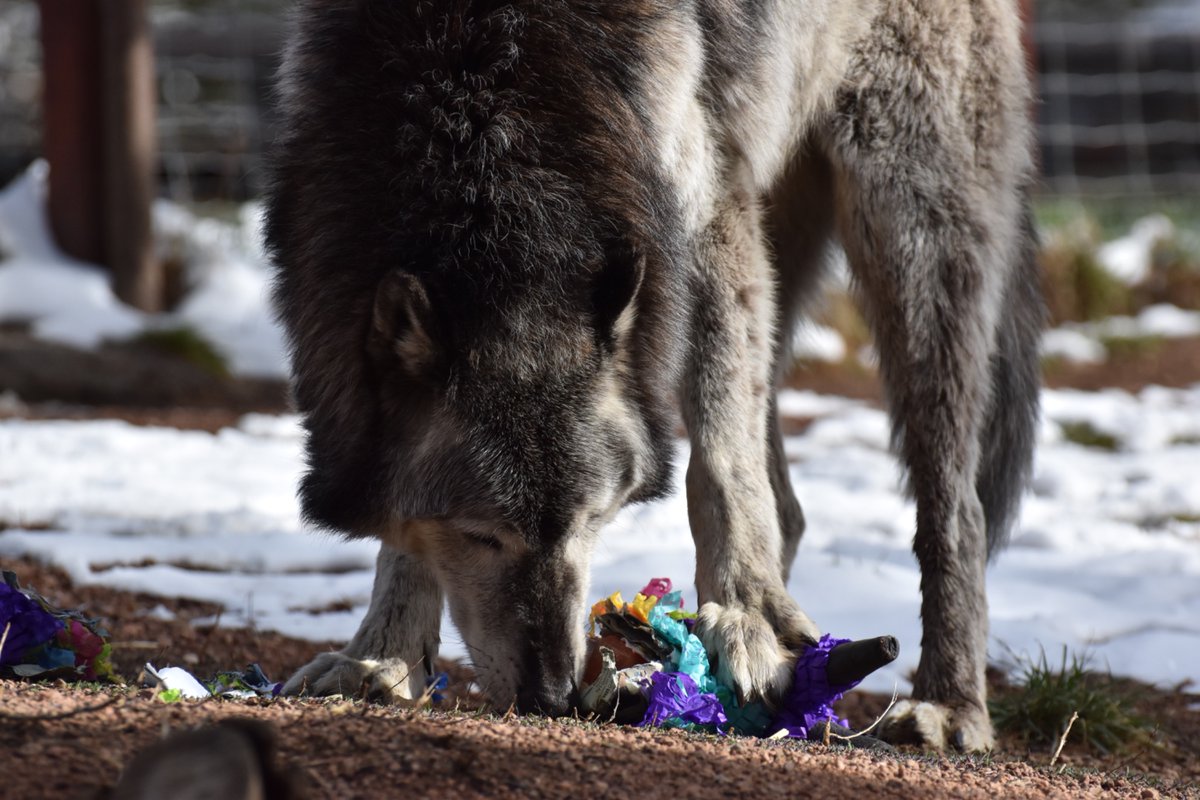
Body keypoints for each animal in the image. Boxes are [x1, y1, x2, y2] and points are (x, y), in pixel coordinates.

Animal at [264, 0, 1043, 751]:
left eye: (592, 521)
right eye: (481, 535)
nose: (552, 697)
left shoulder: (704, 216)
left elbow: (721, 472)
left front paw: (749, 626)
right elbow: (402, 523)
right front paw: (383, 656)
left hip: (909, 236)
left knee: (953, 508)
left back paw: (947, 704)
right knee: (788, 502)